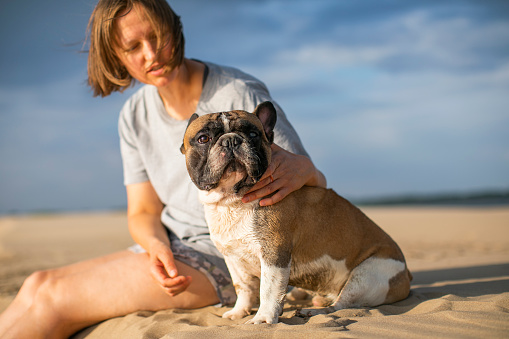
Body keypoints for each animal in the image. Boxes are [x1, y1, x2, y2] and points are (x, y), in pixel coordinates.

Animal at [181, 102, 410, 326]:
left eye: (253, 134)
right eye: (203, 138)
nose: (230, 141)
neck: (232, 200)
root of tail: (407, 274)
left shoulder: (274, 253)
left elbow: (268, 289)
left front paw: (263, 319)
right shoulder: (234, 260)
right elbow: (243, 288)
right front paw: (239, 312)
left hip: (367, 276)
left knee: (341, 304)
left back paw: (312, 311)